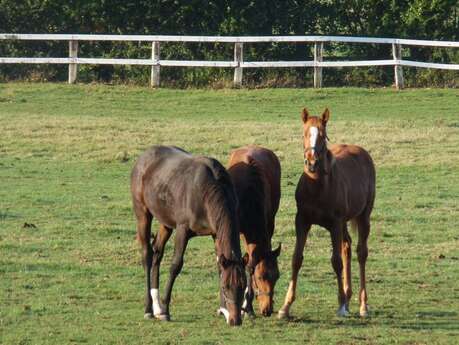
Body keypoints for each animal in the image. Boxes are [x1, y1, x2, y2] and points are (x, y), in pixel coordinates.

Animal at [131, 145, 246, 326]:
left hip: (165, 223)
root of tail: (143, 157)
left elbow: (219, 267)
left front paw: (224, 310)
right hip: (143, 214)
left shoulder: (215, 234)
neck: (206, 191)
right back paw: (149, 309)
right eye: (226, 287)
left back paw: (156, 307)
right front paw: (166, 310)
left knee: (157, 253)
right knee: (147, 255)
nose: (236, 320)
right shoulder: (182, 230)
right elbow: (175, 265)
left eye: (243, 285)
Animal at [227, 144, 282, 316]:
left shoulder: (268, 223)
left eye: (277, 276)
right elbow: (247, 264)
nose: (267, 310)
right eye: (260, 277)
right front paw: (247, 305)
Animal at [278, 107, 376, 318]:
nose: (311, 162)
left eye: (323, 136)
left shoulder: (335, 224)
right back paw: (348, 296)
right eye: (304, 133)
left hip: (363, 217)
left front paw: (340, 305)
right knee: (347, 246)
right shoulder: (302, 221)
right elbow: (296, 259)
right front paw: (285, 306)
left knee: (360, 253)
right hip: (344, 223)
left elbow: (336, 261)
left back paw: (362, 305)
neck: (318, 187)